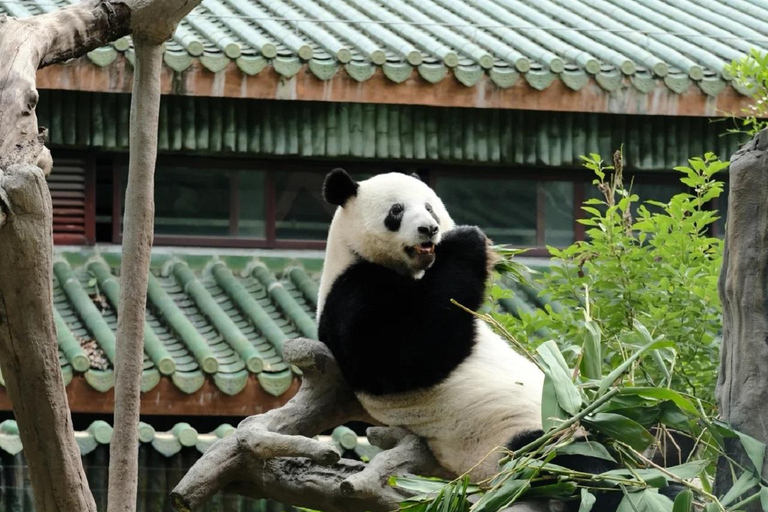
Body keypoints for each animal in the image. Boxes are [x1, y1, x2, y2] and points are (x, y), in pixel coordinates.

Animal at [316, 169, 625, 511]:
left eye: (429, 207)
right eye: (396, 211)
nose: (429, 229)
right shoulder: (351, 295)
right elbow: (403, 355)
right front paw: (467, 240)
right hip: (514, 442)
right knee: (578, 465)